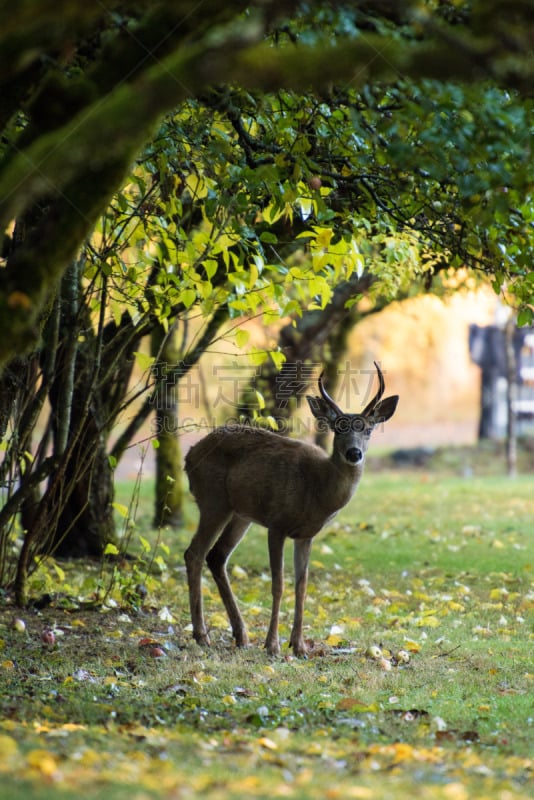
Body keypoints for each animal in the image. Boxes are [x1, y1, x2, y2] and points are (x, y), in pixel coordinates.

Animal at [184, 360, 398, 656]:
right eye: (338, 427)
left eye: (368, 429)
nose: (354, 453)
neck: (316, 491)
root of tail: (188, 455)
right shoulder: (277, 524)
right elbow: (278, 585)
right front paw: (273, 645)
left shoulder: (306, 535)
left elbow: (302, 586)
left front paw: (299, 646)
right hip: (213, 500)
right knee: (194, 553)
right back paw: (202, 635)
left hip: (240, 513)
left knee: (216, 556)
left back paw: (241, 635)